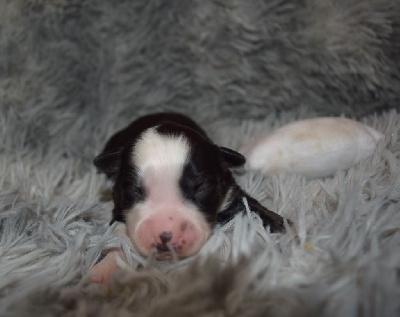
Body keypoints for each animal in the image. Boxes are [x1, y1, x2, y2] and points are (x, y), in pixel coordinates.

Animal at [91, 113, 288, 282]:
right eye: (134, 190)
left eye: (200, 187)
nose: (166, 237)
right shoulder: (119, 210)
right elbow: (119, 238)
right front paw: (106, 268)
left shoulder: (229, 193)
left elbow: (253, 208)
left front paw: (285, 230)